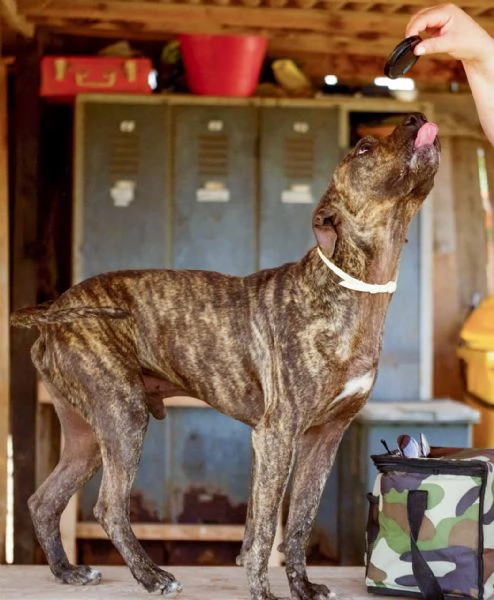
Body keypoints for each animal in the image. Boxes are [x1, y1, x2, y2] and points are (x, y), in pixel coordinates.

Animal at [9, 112, 438, 600]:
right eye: (364, 147)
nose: (417, 117)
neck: (351, 286)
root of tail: (55, 308)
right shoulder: (276, 435)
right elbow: (267, 527)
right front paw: (263, 591)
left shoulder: (323, 438)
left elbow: (297, 521)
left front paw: (303, 586)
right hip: (122, 415)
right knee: (109, 507)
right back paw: (151, 576)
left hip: (86, 435)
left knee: (44, 500)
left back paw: (67, 571)